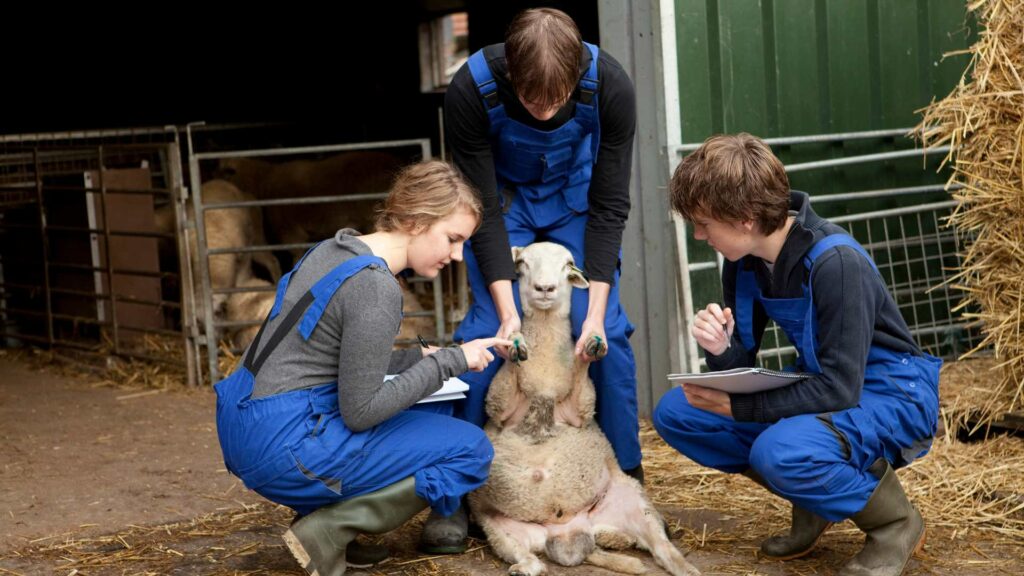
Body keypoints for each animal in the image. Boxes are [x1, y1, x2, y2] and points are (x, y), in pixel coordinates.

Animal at [468, 240, 700, 573]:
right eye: (522, 263)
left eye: (567, 264)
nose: (545, 288)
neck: (545, 377)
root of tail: (567, 532)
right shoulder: (500, 410)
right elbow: (509, 374)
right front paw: (514, 342)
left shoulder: (579, 409)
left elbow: (581, 374)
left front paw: (589, 347)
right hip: (497, 527)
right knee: (530, 560)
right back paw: (526, 566)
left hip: (632, 500)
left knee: (660, 546)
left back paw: (678, 565)